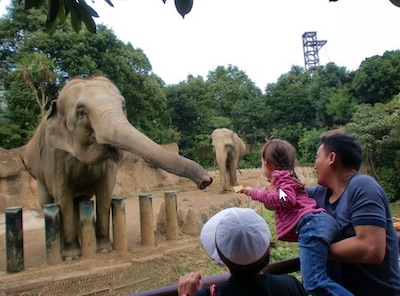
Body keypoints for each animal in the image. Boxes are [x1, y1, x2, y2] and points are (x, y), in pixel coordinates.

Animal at [21, 76, 212, 260]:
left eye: (123, 106)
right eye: (81, 112)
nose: (206, 181)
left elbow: (105, 193)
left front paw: (104, 249)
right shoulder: (54, 155)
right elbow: (63, 196)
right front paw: (71, 257)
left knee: (80, 202)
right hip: (39, 176)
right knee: (50, 201)